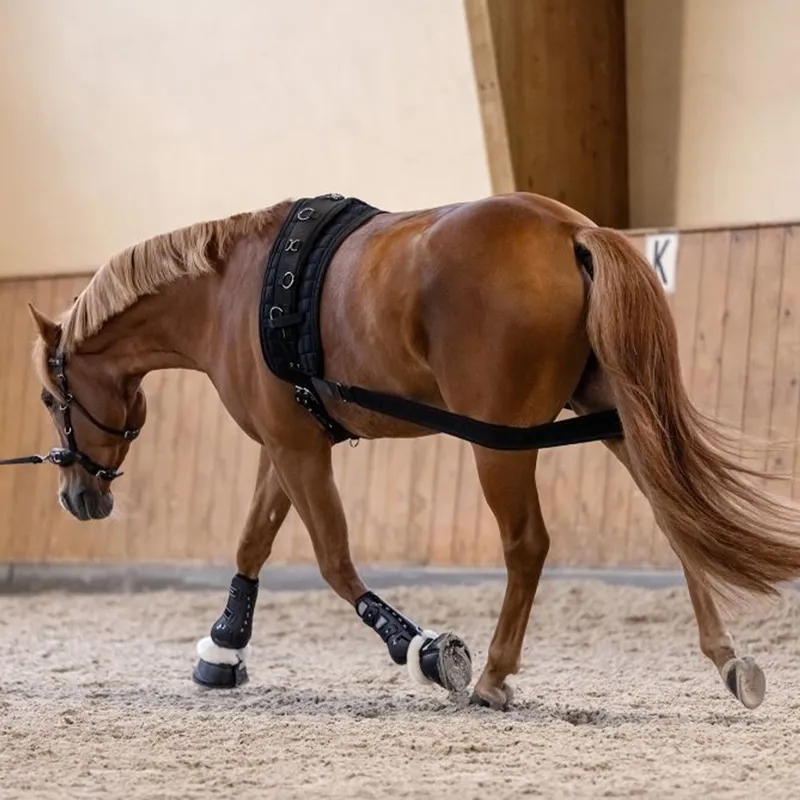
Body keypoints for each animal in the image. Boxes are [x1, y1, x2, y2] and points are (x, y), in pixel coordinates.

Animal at [23, 190, 800, 711]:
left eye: (49, 399)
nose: (77, 497)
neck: (232, 292)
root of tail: (570, 229)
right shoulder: (285, 444)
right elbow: (252, 543)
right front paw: (223, 647)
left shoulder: (297, 450)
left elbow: (334, 562)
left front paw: (424, 651)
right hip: (616, 419)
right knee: (677, 521)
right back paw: (728, 659)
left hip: (502, 444)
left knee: (528, 544)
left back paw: (491, 676)